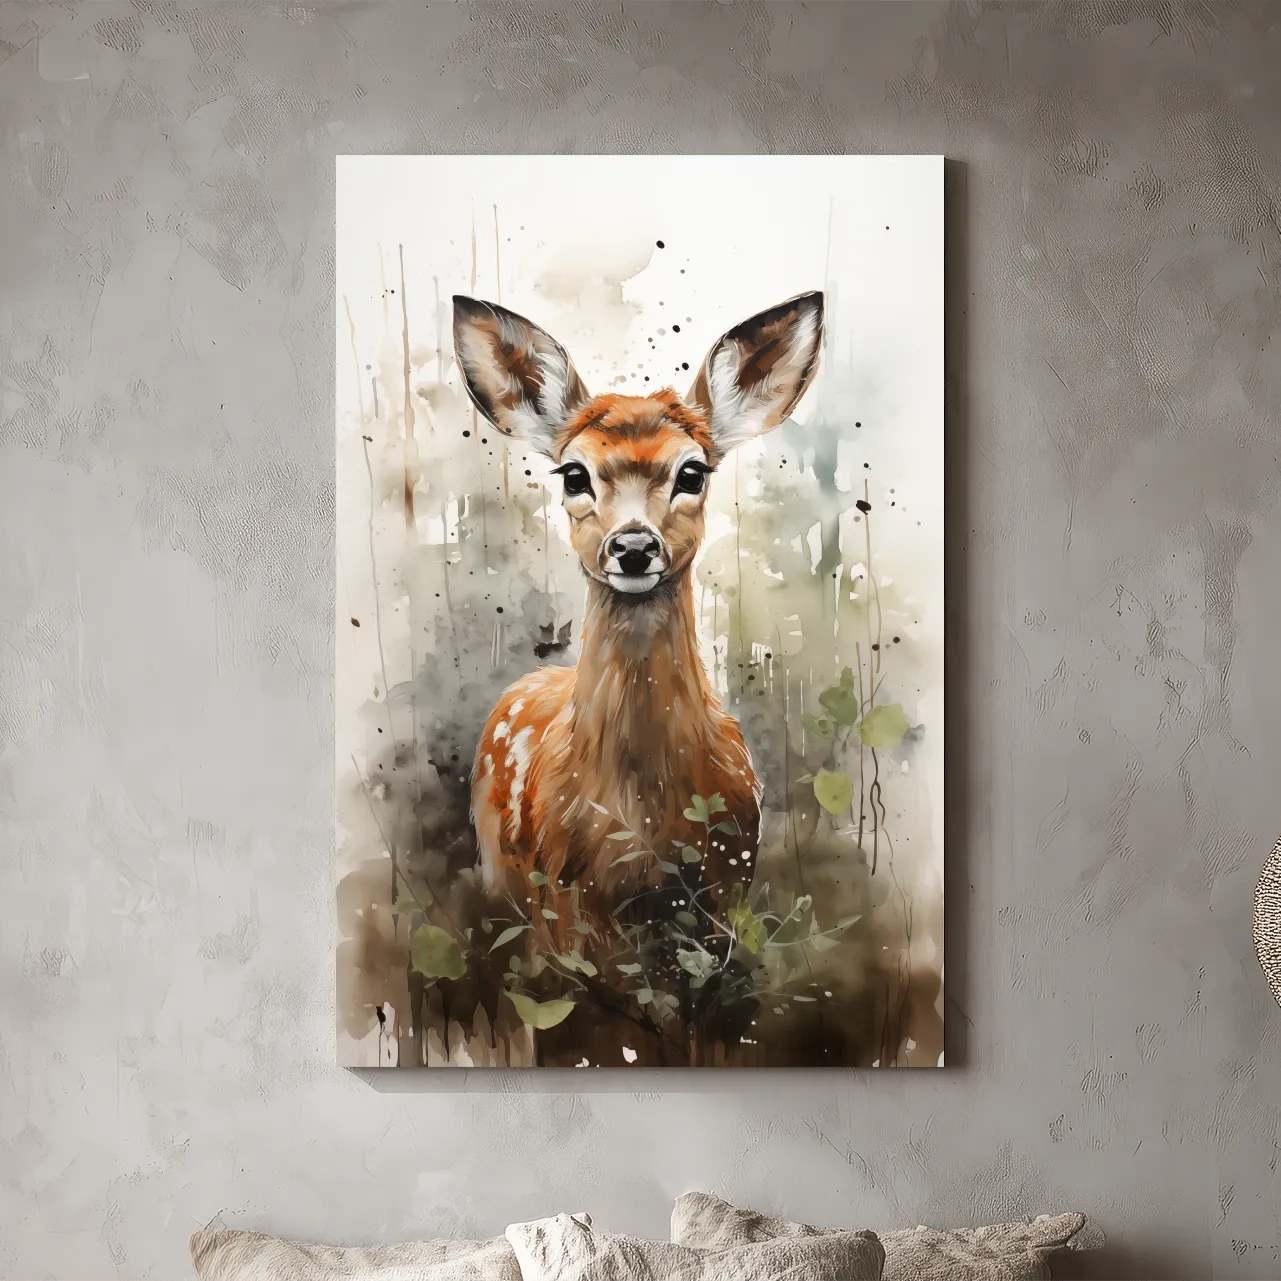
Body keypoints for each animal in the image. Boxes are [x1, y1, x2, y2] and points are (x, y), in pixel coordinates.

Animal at [453, 290, 824, 955]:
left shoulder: (728, 886)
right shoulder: (564, 901)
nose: (632, 546)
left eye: (693, 472)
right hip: (502, 871)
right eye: (573, 474)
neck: (642, 822)